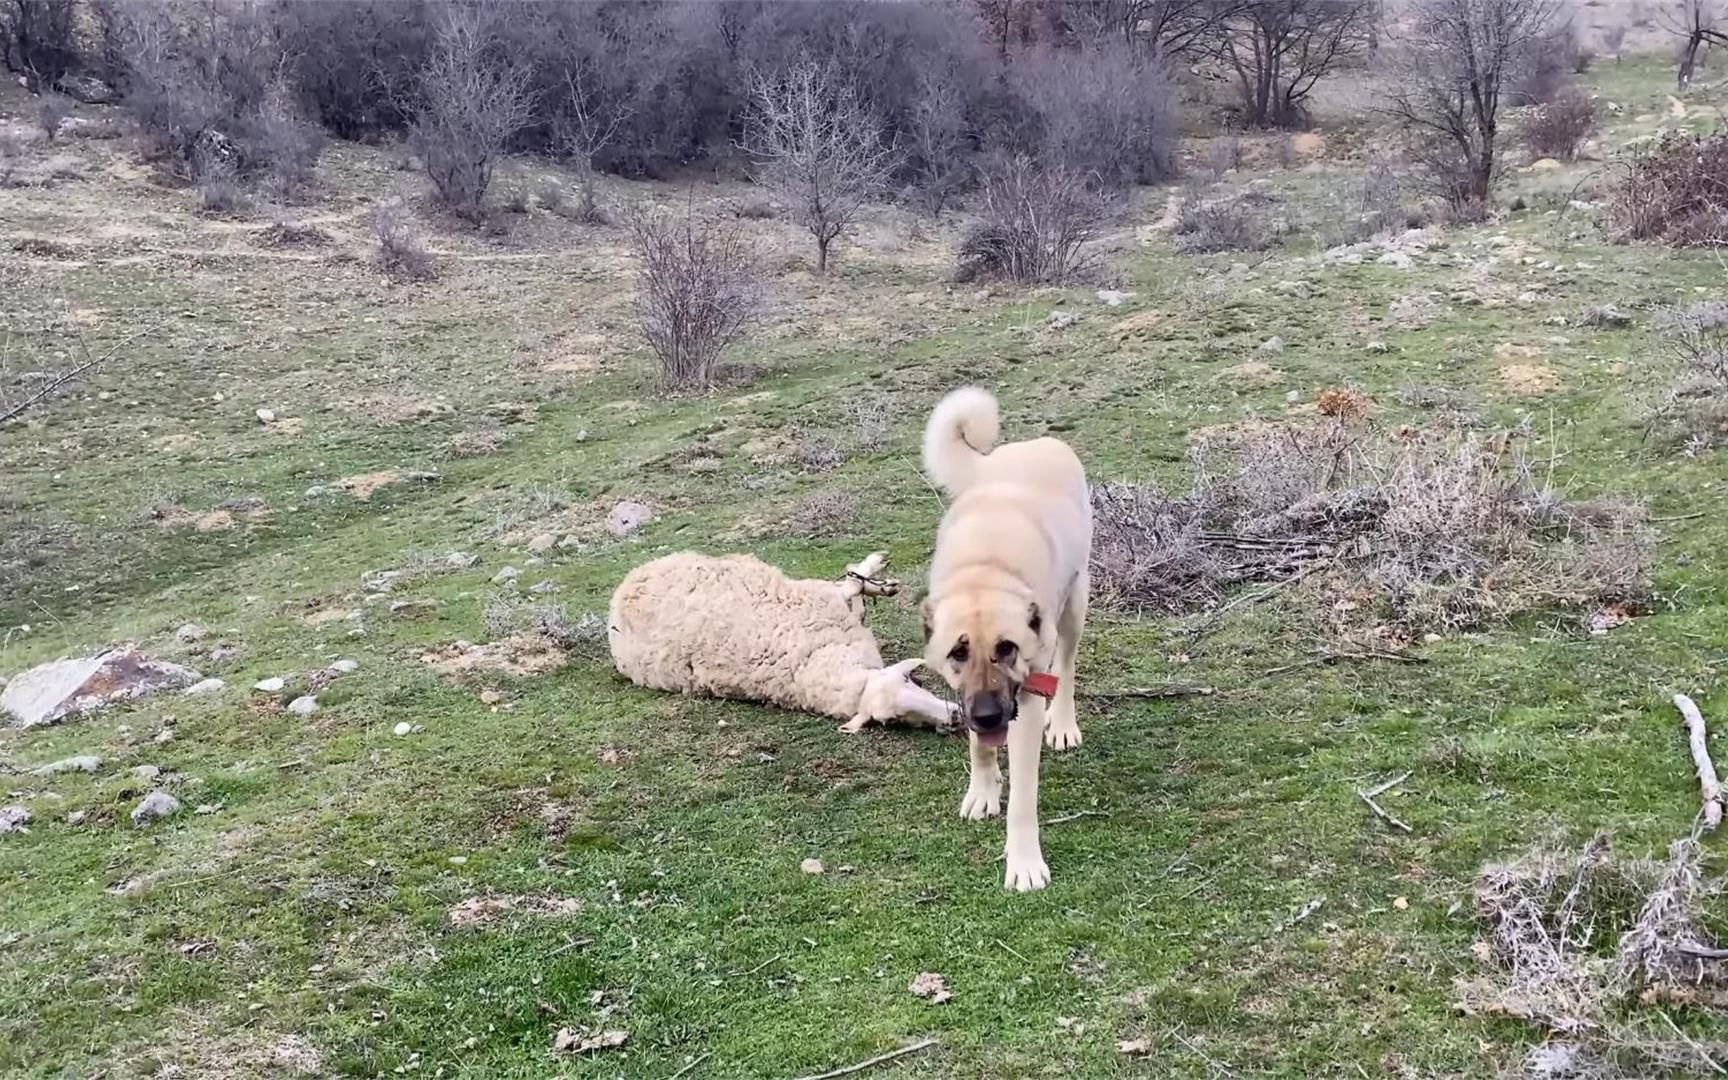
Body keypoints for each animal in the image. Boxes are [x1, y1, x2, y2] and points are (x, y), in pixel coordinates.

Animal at [608, 546, 960, 732]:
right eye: (891, 720)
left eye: (908, 680)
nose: (955, 717)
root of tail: (621, 593)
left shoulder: (825, 601)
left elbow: (851, 586)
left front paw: (875, 577)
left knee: (847, 581)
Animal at [926, 383, 1085, 891]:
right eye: (958, 653)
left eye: (1007, 649)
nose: (990, 715)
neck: (985, 567)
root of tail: (1030, 444)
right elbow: (978, 746)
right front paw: (982, 789)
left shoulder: (1027, 697)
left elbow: (1023, 798)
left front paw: (1024, 861)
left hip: (1075, 605)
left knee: (1067, 665)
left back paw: (1065, 723)